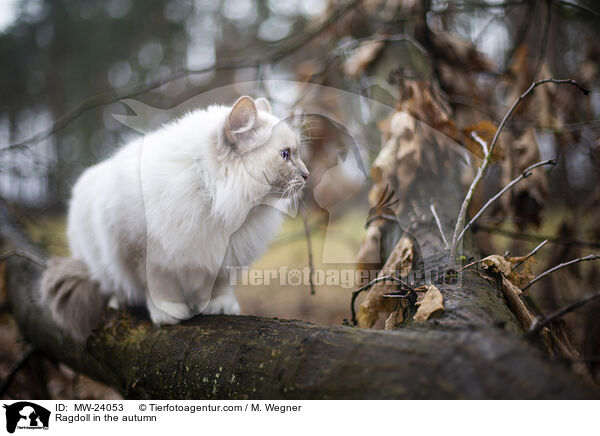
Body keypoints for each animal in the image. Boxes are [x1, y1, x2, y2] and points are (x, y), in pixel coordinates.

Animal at [41, 96, 310, 338]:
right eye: (285, 155)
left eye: (297, 153)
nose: (307, 174)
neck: (212, 198)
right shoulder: (142, 252)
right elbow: (159, 288)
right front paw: (169, 313)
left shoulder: (225, 258)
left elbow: (220, 286)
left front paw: (219, 306)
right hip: (100, 259)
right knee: (113, 284)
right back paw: (120, 302)